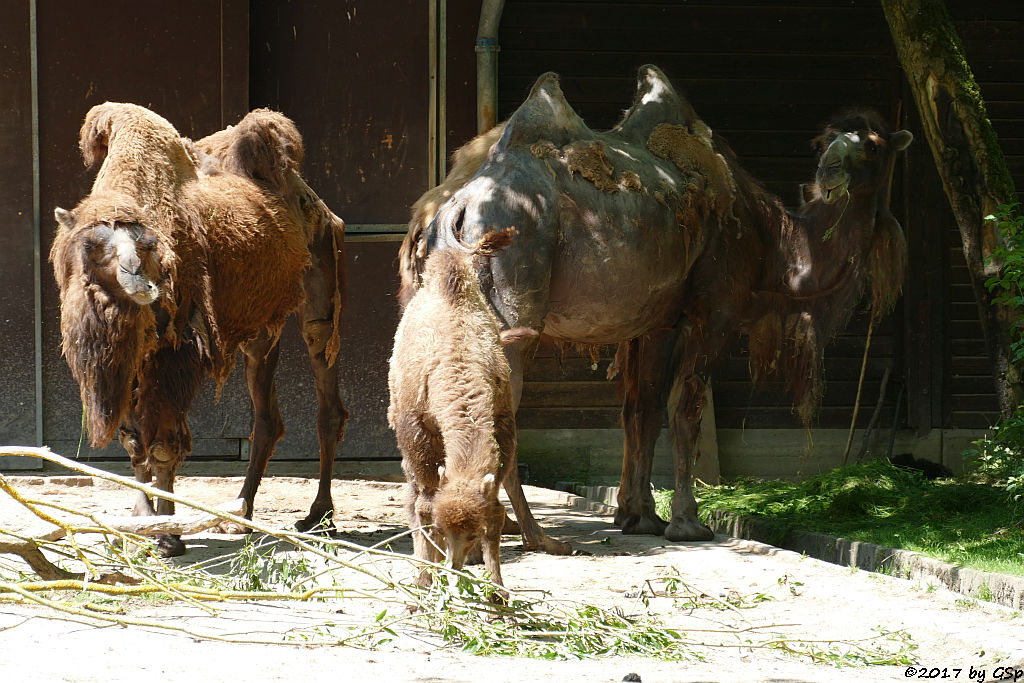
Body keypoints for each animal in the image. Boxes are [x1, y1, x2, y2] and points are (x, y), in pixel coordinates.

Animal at [399, 65, 913, 544]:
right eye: (828, 144)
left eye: (871, 146)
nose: (830, 173)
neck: (769, 241)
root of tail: (453, 209)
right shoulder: (715, 310)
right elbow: (683, 407)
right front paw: (688, 522)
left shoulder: (654, 322)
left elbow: (640, 411)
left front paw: (638, 516)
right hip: (511, 304)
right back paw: (534, 535)